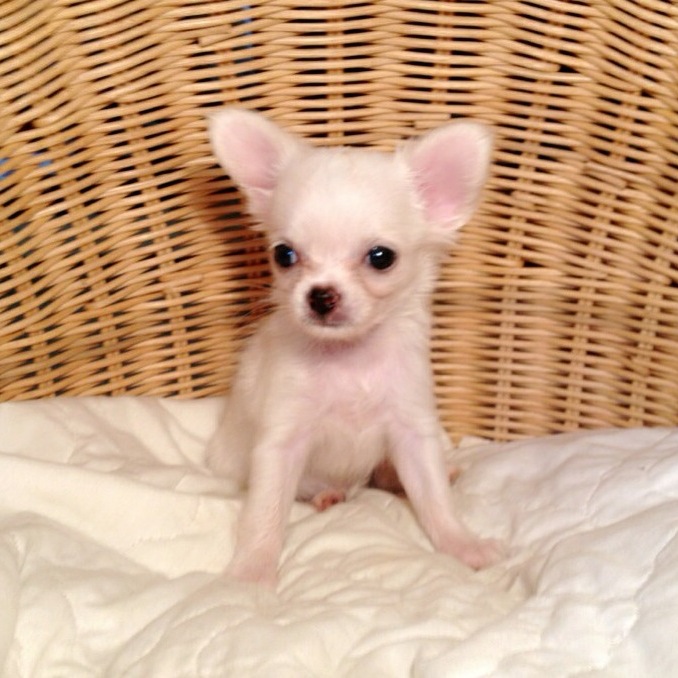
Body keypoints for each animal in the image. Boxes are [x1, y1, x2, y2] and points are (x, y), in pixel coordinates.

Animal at [206, 109, 499, 585]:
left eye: (381, 257)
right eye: (284, 255)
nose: (321, 295)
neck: (350, 358)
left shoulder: (412, 431)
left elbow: (434, 498)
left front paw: (462, 544)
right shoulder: (280, 443)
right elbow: (265, 514)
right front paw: (252, 571)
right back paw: (327, 494)